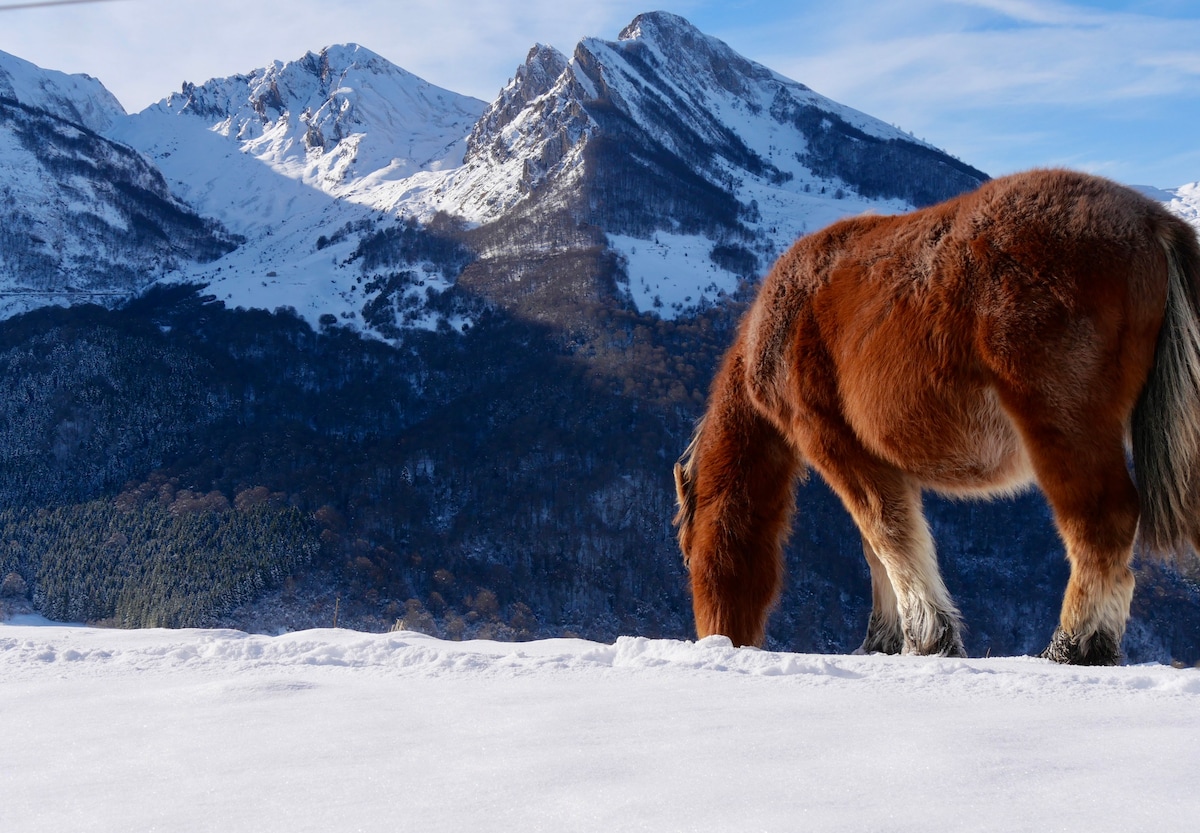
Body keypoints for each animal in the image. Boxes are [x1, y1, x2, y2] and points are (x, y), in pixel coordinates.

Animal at [676, 169, 1200, 667]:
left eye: (689, 554)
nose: (718, 639)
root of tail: (1151, 222)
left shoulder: (836, 444)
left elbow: (889, 535)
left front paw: (926, 640)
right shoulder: (877, 463)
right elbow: (877, 549)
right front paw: (884, 643)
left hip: (1065, 428)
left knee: (1101, 522)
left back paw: (1071, 648)